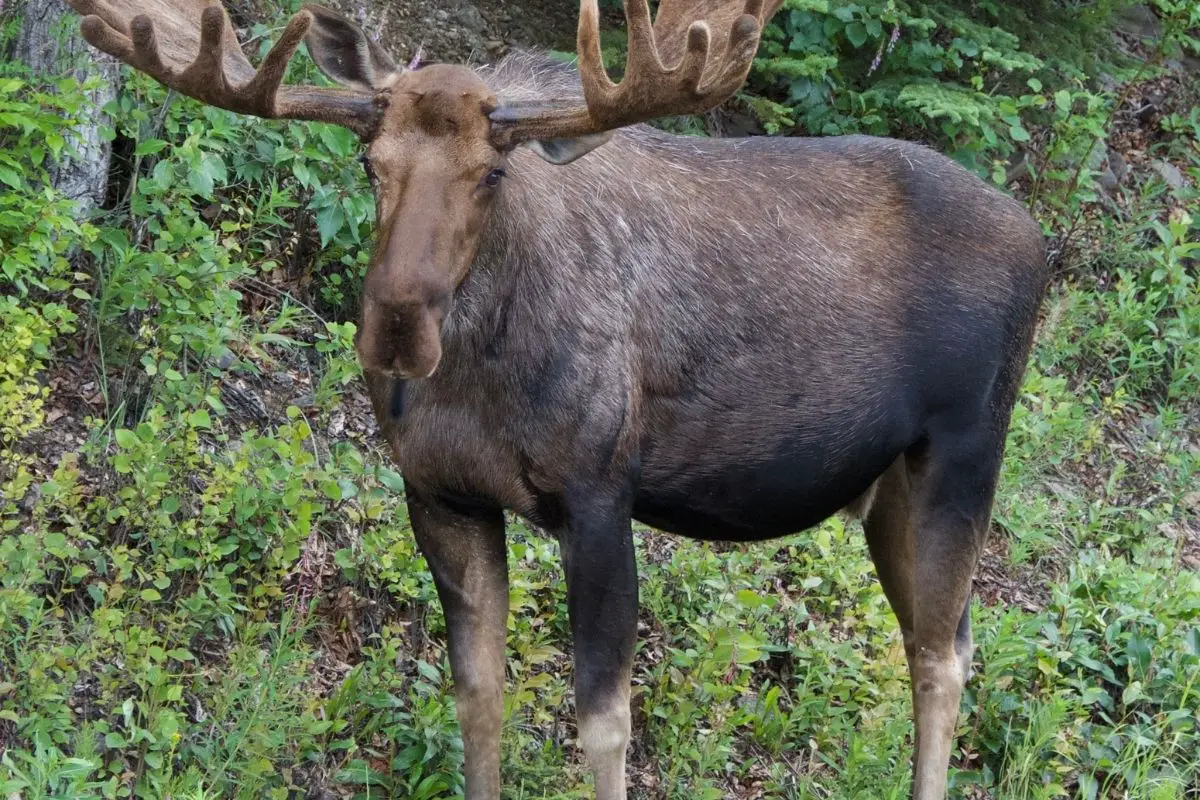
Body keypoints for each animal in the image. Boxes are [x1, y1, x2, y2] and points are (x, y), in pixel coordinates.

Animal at [68, 0, 1051, 796]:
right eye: (370, 160)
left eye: (492, 173)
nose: (395, 328)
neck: (479, 385)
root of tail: (1043, 243)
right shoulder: (441, 494)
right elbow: (479, 694)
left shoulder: (600, 493)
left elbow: (604, 724)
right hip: (886, 492)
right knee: (950, 640)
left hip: (966, 452)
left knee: (940, 660)